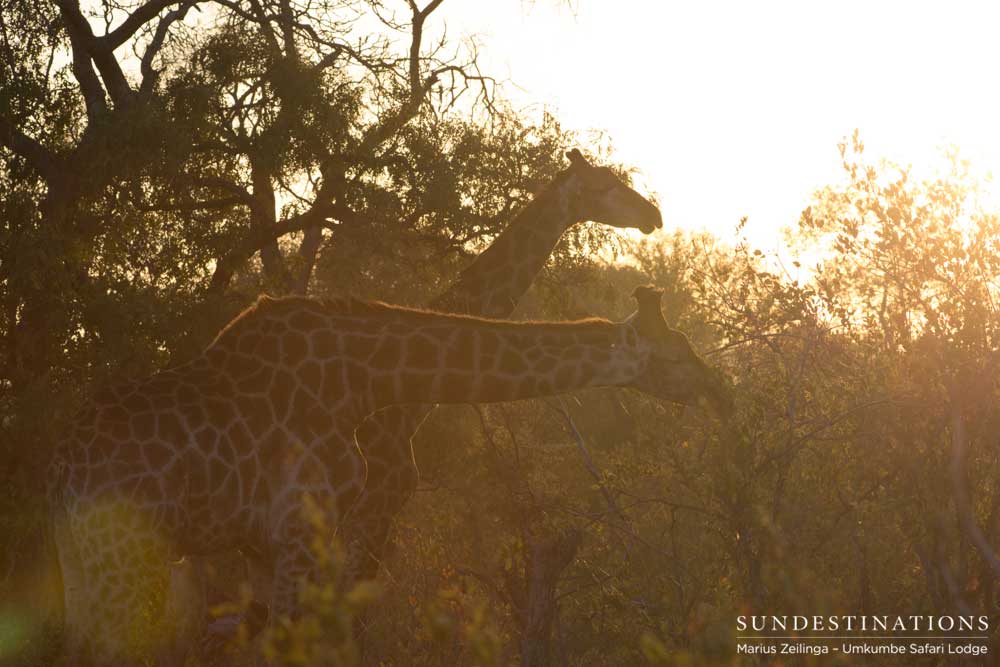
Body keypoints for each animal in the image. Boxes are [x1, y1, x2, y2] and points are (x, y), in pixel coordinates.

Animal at [48, 286, 731, 666]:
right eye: (676, 350)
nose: (714, 386)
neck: (365, 379)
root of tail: (62, 470)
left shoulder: (262, 543)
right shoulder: (302, 524)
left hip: (87, 564)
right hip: (125, 558)